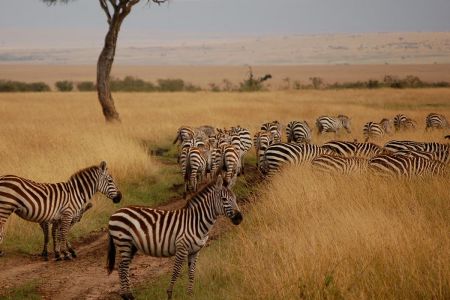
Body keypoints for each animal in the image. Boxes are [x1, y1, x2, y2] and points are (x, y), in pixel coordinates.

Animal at [107, 176, 243, 300]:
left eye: (235, 199)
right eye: (224, 199)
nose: (240, 218)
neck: (196, 222)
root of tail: (116, 212)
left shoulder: (195, 251)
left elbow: (192, 272)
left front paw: (190, 294)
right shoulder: (182, 248)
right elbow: (176, 271)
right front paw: (169, 294)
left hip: (131, 246)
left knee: (122, 267)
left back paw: (127, 295)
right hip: (124, 242)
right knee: (123, 268)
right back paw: (127, 295)